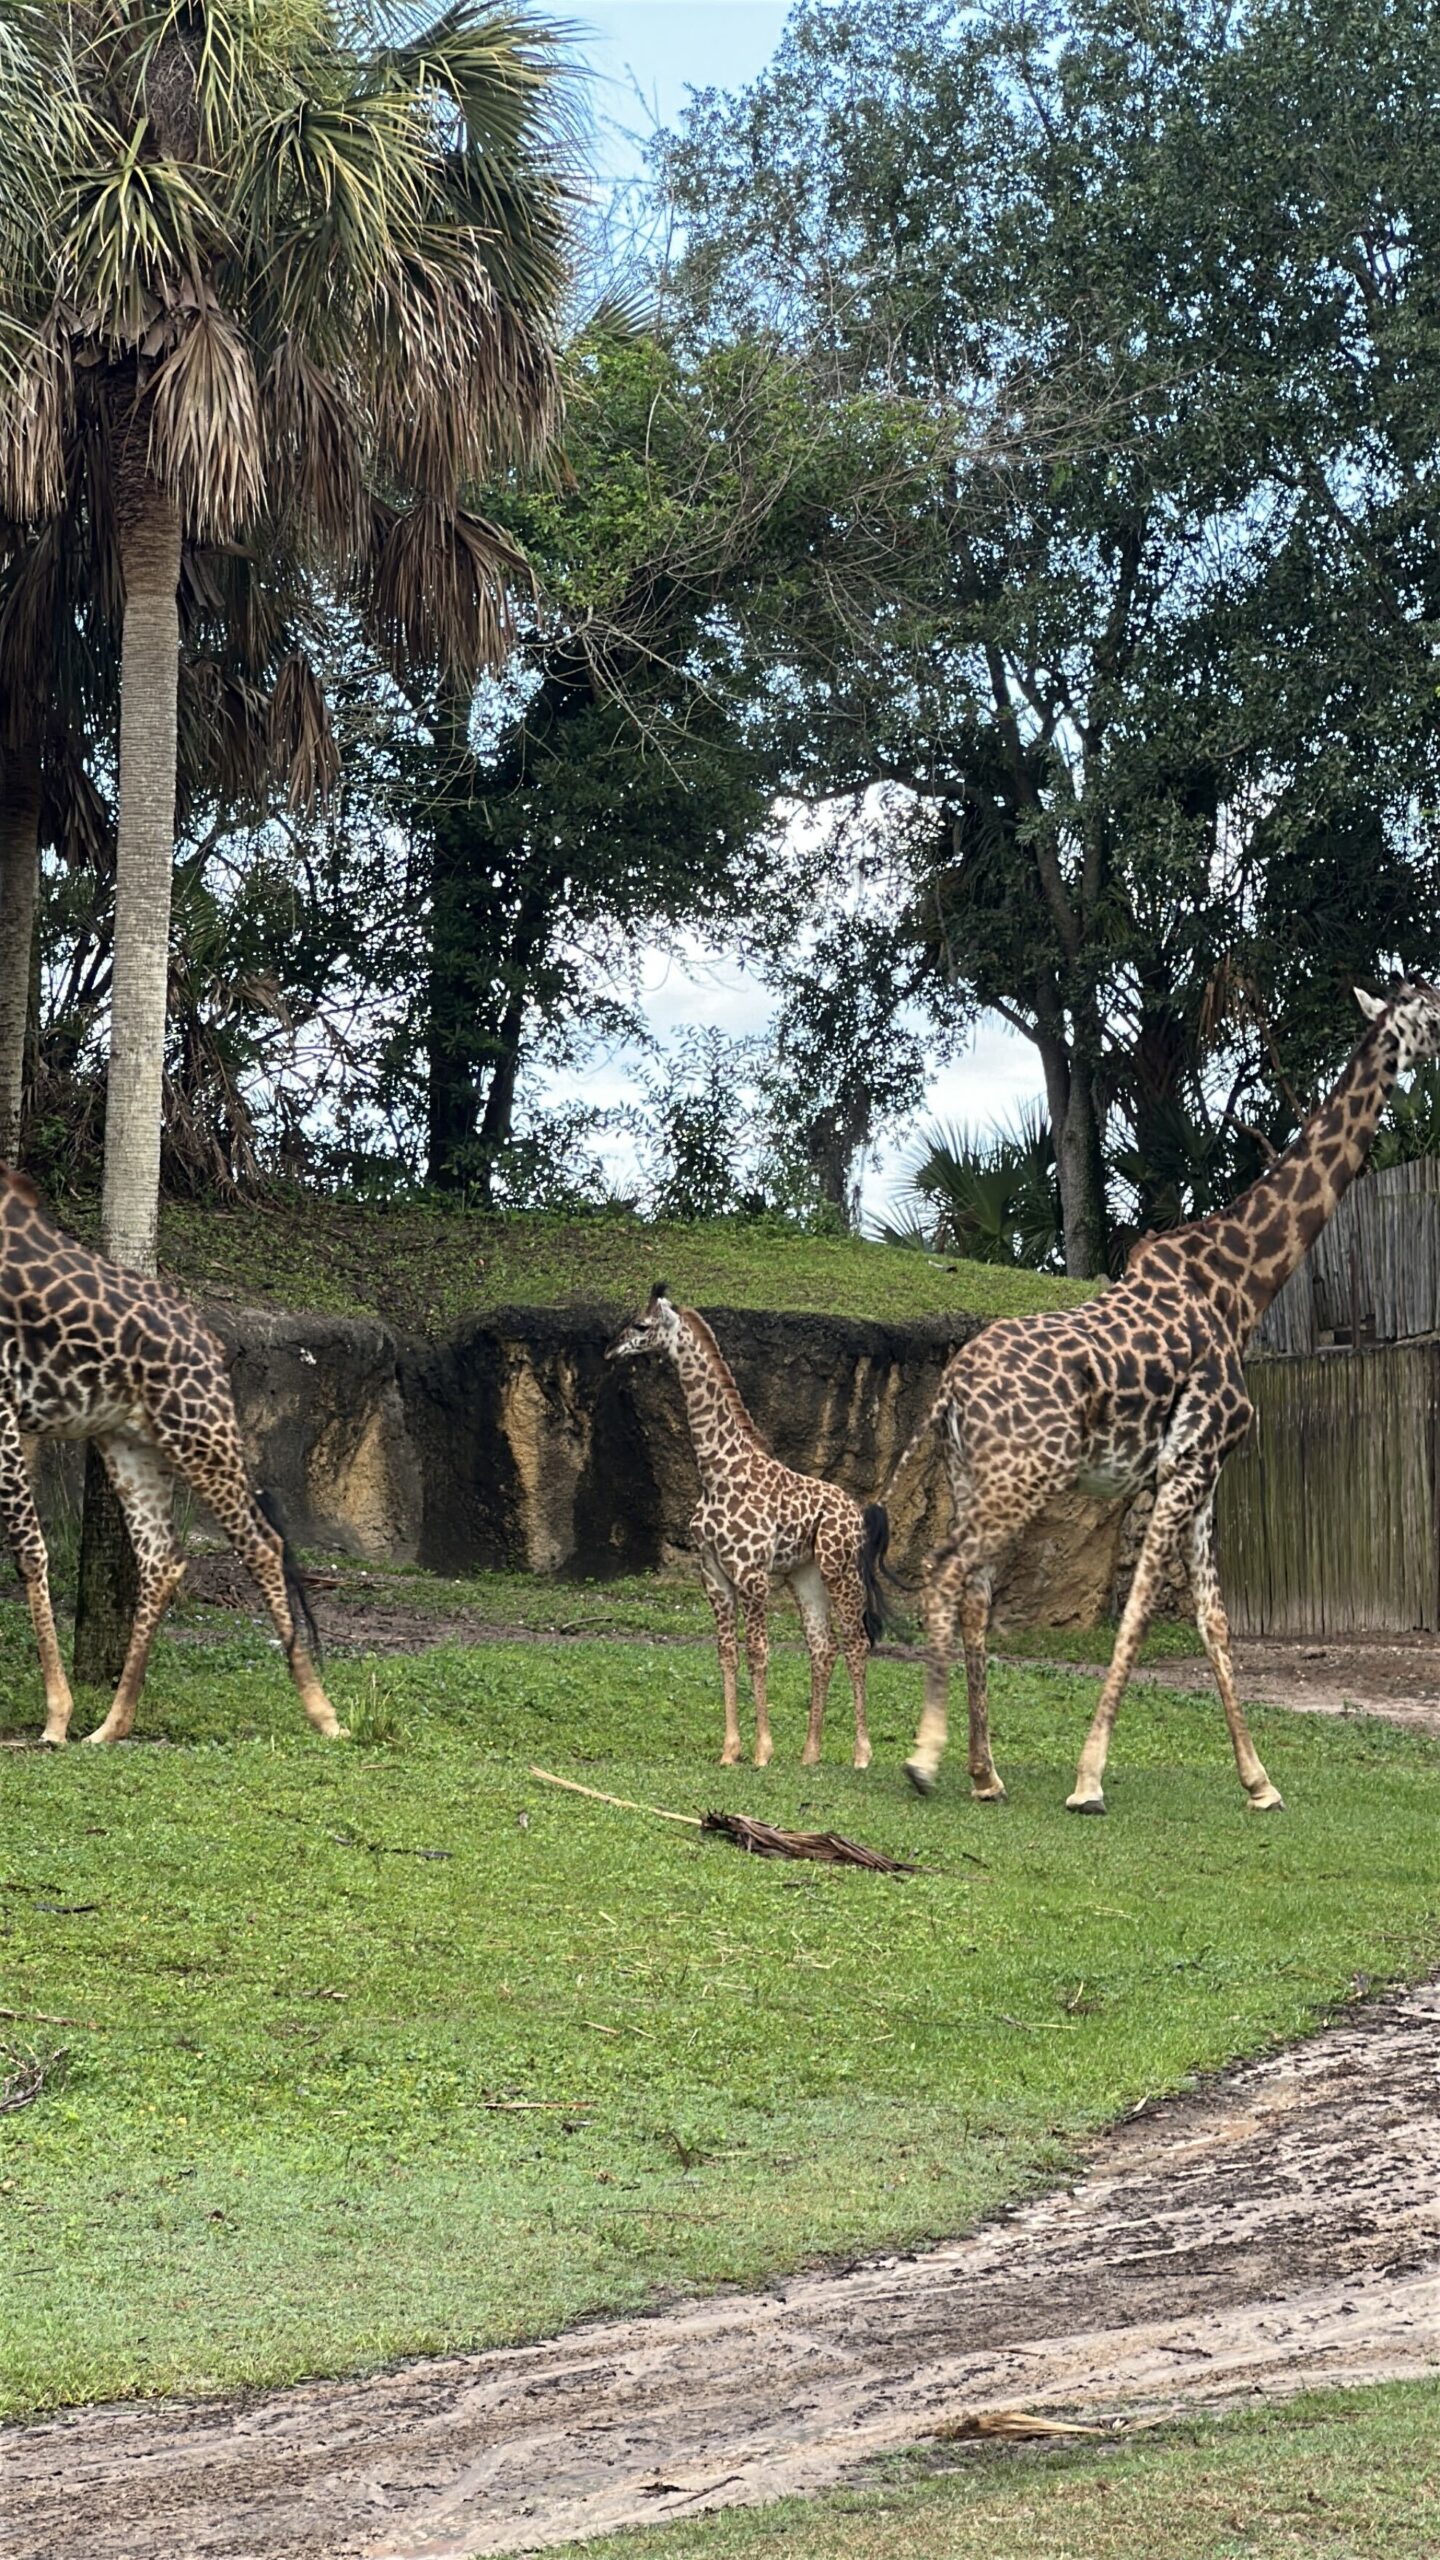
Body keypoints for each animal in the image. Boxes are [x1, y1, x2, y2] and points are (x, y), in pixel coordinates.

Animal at [0, 1167, 342, 1744]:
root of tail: (210, 1343)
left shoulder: (0, 1400)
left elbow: (28, 1549)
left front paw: (56, 1718)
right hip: (128, 1438)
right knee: (161, 1557)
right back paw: (110, 1726)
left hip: (196, 1427)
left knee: (262, 1544)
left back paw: (324, 1713)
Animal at [608, 1285, 884, 1768]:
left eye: (641, 1325)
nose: (610, 1351)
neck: (717, 1471)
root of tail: (855, 1511)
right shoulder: (713, 1573)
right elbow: (726, 1653)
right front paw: (730, 1750)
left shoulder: (751, 1572)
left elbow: (757, 1651)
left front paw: (761, 1750)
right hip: (804, 1574)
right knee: (822, 1648)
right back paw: (810, 1753)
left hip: (840, 1569)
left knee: (856, 1643)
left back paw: (861, 1754)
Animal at [864, 981, 1440, 1814]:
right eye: (1431, 1012)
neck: (1243, 1286)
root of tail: (948, 1390)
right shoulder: (1187, 1464)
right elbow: (1139, 1608)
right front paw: (1088, 1780)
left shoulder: (1202, 1474)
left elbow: (1213, 1619)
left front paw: (1259, 1782)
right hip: (1019, 1480)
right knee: (945, 1575)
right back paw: (925, 1760)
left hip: (976, 1479)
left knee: (972, 1594)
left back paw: (985, 1773)